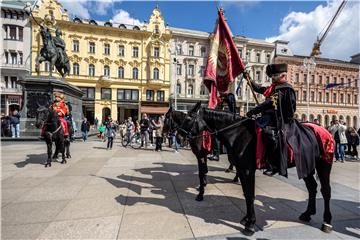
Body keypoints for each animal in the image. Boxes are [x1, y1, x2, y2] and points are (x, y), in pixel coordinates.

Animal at [181, 102, 334, 235]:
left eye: (189, 118)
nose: (182, 136)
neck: (238, 134)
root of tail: (324, 130)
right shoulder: (241, 169)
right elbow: (246, 193)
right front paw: (247, 219)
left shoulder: (248, 170)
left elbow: (250, 195)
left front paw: (250, 224)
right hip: (306, 166)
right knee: (312, 187)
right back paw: (307, 214)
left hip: (324, 165)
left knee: (325, 191)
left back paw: (326, 222)